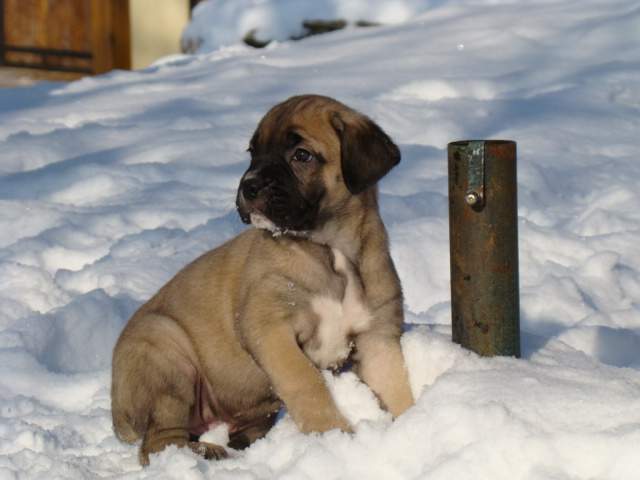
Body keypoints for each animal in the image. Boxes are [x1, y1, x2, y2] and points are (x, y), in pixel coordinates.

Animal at [111, 94, 416, 464]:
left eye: (302, 155)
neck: (331, 250)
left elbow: (396, 387)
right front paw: (332, 435)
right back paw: (205, 452)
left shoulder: (376, 338)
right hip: (166, 351)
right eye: (253, 152)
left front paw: (414, 425)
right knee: (159, 443)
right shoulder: (270, 330)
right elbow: (305, 382)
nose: (249, 185)